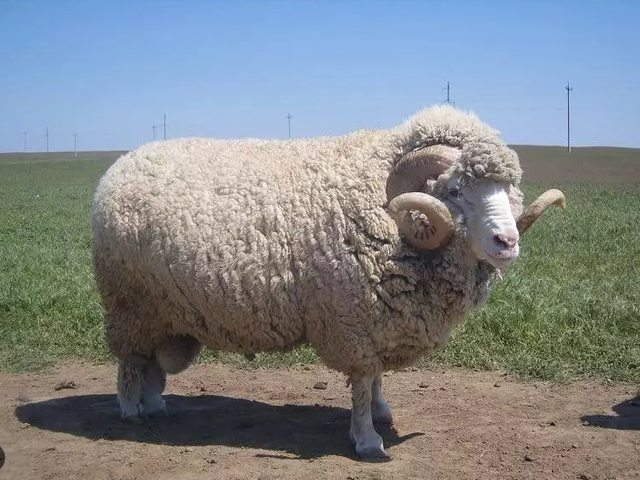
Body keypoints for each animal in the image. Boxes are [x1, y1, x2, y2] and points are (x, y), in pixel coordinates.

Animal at [91, 104, 565, 461]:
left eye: (507, 188)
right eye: (453, 191)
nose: (508, 242)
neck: (387, 212)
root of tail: (119, 165)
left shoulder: (379, 318)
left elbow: (377, 377)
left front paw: (382, 412)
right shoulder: (351, 319)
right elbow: (363, 379)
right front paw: (367, 439)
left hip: (163, 309)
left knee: (151, 362)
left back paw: (155, 406)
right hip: (129, 302)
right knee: (129, 360)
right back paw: (130, 410)